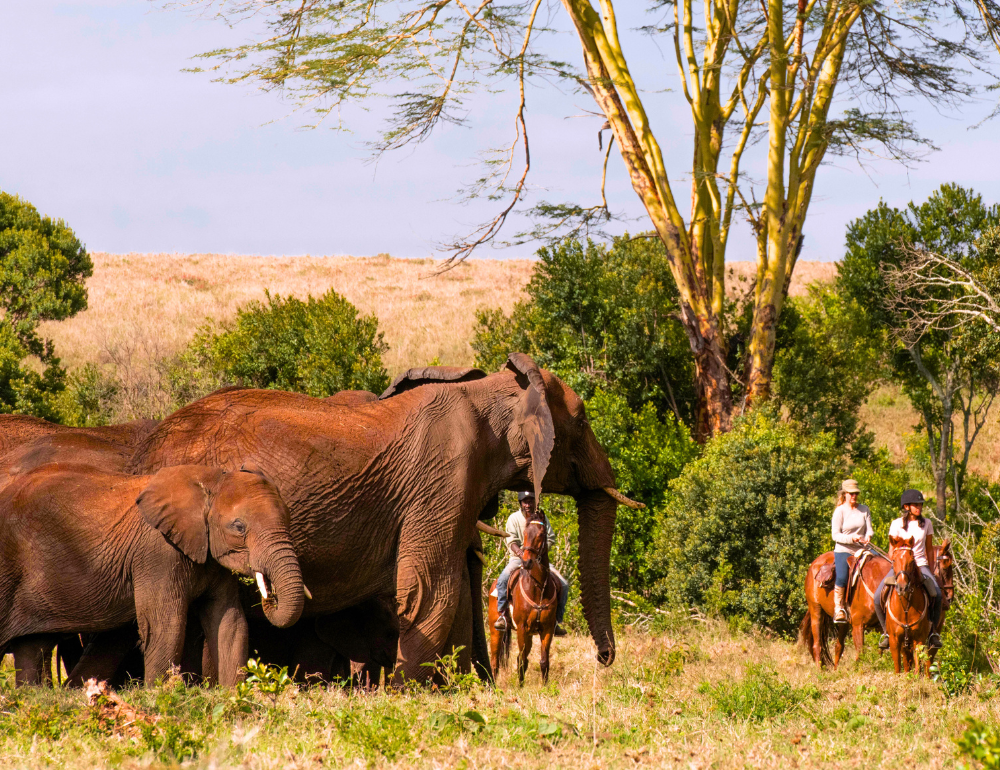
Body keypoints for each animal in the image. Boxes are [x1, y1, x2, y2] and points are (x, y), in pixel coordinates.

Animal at [0, 462, 304, 684]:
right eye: (239, 527)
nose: (270, 598)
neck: (209, 479)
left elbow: (230, 622)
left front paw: (235, 698)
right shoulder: (158, 553)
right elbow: (166, 625)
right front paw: (160, 697)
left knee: (32, 646)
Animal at [486, 516, 560, 684]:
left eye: (541, 534)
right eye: (525, 533)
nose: (527, 562)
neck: (538, 587)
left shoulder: (547, 628)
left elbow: (544, 661)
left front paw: (545, 687)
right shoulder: (522, 627)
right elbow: (521, 660)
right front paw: (520, 686)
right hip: (496, 630)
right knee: (495, 661)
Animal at [888, 536, 932, 672]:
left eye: (912, 561)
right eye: (893, 560)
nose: (902, 587)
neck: (905, 608)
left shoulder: (919, 638)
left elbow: (918, 668)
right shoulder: (894, 640)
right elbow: (898, 668)